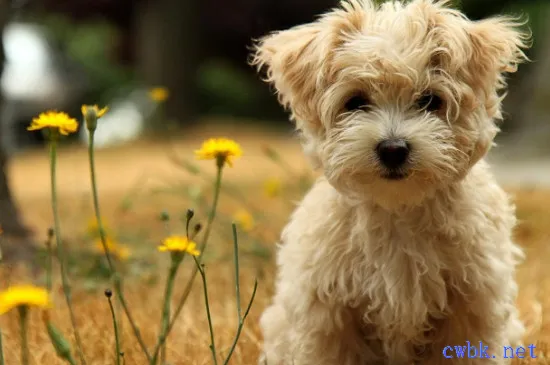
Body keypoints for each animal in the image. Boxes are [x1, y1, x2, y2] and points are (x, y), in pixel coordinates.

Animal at [252, 0, 532, 364]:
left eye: (430, 100)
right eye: (356, 102)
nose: (393, 149)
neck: (398, 208)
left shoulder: (473, 304)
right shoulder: (327, 312)